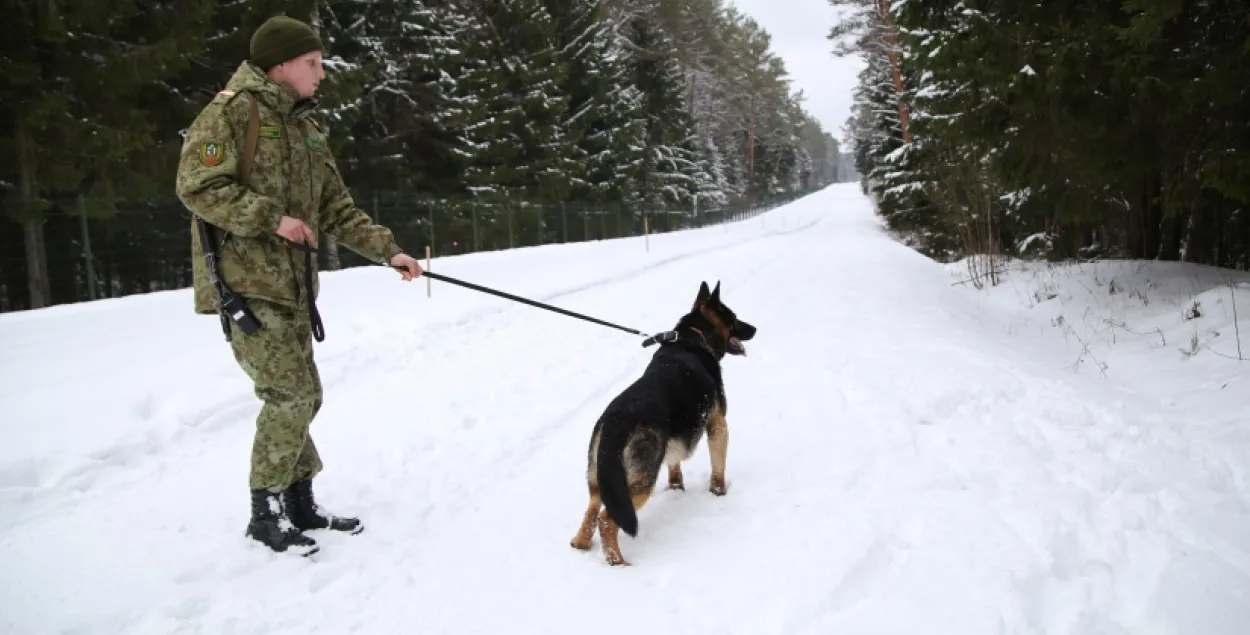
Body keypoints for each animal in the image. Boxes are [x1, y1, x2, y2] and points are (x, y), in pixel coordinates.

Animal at [572, 281, 755, 565]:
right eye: (734, 319)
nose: (755, 329)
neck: (692, 337)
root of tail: (615, 420)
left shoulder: (675, 439)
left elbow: (674, 465)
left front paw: (676, 489)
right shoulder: (718, 425)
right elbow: (718, 467)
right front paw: (718, 493)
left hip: (599, 475)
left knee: (592, 508)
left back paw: (581, 542)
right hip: (641, 479)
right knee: (607, 519)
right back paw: (618, 563)